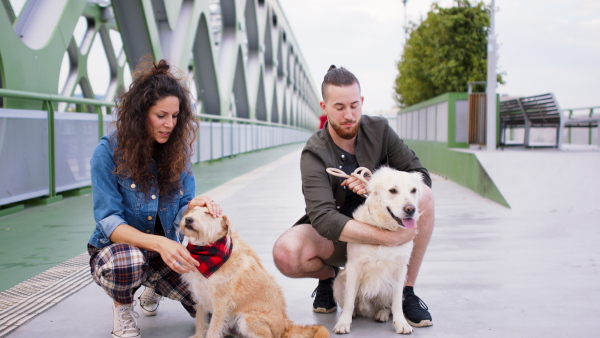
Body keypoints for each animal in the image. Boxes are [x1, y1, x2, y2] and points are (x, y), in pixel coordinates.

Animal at [179, 206, 328, 338]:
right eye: (192, 210)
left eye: (208, 213)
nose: (189, 219)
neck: (205, 252)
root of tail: (285, 326)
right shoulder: (200, 297)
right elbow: (200, 321)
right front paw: (198, 335)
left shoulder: (221, 303)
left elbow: (213, 328)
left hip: (247, 320)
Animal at [332, 166, 422, 332]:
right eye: (393, 190)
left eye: (414, 190)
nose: (410, 209)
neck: (385, 228)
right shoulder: (353, 268)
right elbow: (349, 301)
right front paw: (343, 323)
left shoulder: (400, 270)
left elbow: (397, 303)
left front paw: (401, 324)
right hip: (339, 281)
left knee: (386, 306)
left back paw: (382, 314)